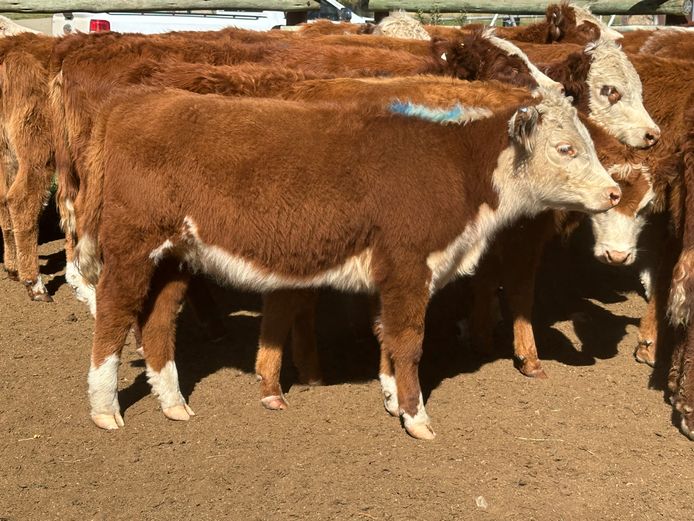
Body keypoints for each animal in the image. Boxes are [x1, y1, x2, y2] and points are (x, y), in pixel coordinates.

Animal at [76, 88, 620, 438]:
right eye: (566, 148)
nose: (614, 192)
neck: (455, 165)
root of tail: (133, 101)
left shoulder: (391, 274)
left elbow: (387, 335)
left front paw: (390, 397)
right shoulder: (408, 265)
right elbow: (409, 341)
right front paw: (416, 417)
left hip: (175, 257)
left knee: (157, 323)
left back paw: (174, 405)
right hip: (131, 247)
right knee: (113, 314)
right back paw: (104, 409)